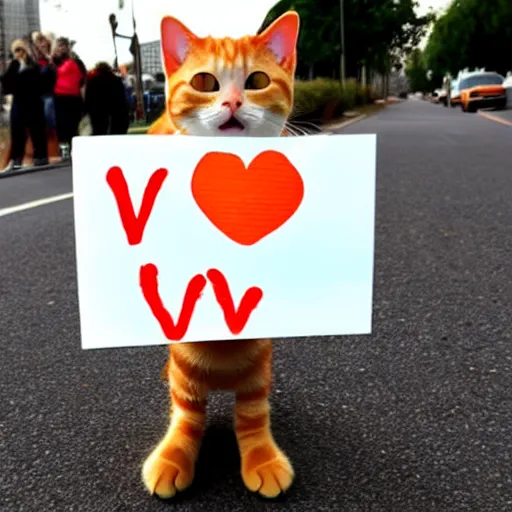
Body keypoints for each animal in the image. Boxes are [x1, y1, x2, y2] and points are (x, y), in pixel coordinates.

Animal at [141, 11, 300, 500]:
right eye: (205, 82)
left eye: (258, 81)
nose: (231, 102)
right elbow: (186, 413)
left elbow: (252, 413)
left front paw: (260, 456)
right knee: (187, 401)